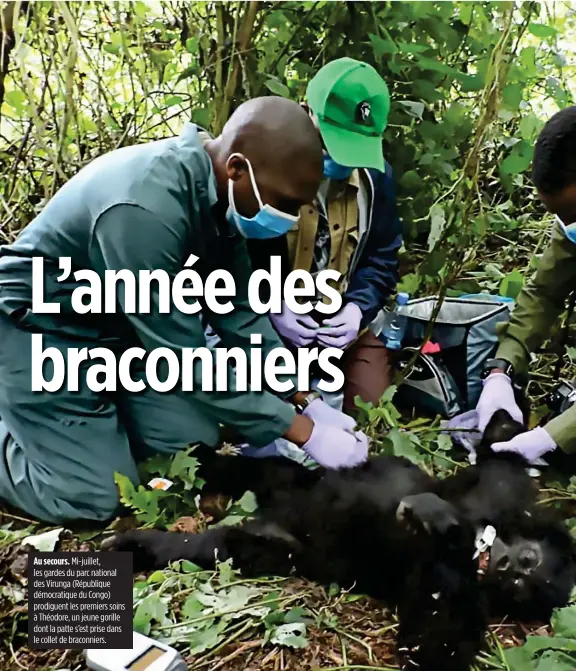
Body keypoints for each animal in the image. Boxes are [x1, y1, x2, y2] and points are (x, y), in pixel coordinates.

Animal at [104, 412, 576, 668]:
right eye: (527, 561)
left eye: (519, 586)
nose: (504, 565)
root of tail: (273, 511)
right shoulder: (500, 494)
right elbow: (501, 461)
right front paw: (501, 424)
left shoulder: (461, 600)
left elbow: (429, 647)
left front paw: (446, 533)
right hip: (296, 483)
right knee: (263, 470)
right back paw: (196, 461)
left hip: (277, 544)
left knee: (225, 546)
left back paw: (143, 547)